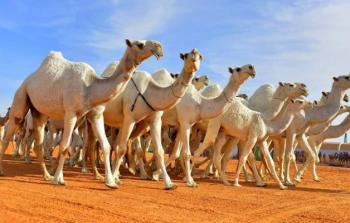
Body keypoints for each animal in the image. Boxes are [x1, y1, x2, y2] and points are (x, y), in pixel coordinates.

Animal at [0, 38, 161, 188]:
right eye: (140, 44)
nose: (159, 47)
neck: (90, 87)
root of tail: (29, 79)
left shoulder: (94, 115)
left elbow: (105, 145)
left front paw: (110, 182)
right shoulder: (70, 113)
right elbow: (65, 146)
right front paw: (58, 179)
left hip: (40, 112)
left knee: (39, 143)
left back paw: (46, 175)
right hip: (21, 96)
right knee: (9, 134)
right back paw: (5, 171)